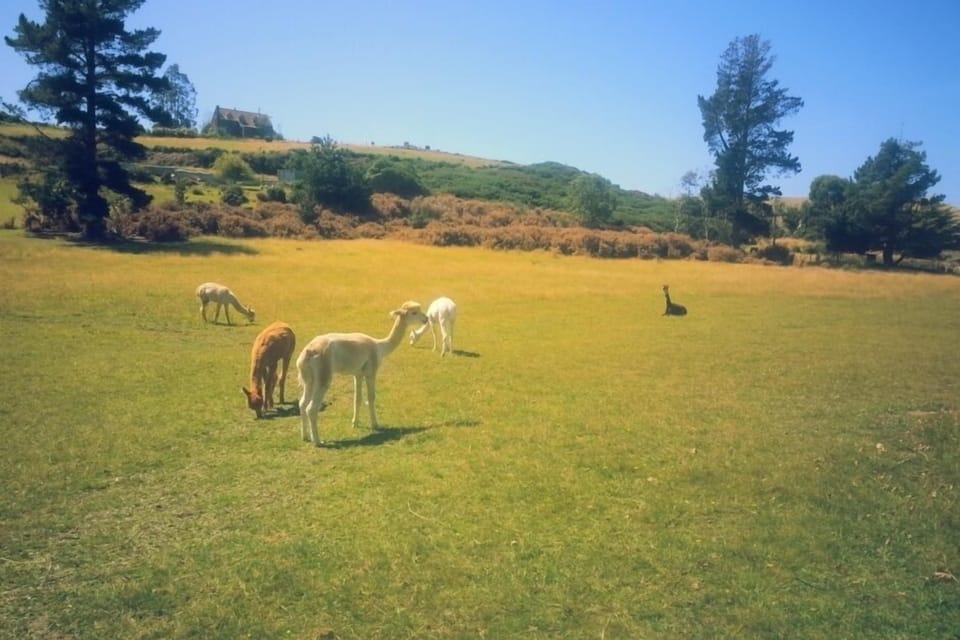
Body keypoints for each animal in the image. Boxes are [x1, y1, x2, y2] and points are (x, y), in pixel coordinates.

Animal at [297, 301, 428, 446]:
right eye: (414, 312)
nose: (426, 319)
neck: (380, 347)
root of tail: (308, 351)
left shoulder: (358, 374)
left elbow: (357, 398)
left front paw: (355, 423)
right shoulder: (371, 371)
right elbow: (371, 398)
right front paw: (375, 424)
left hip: (309, 379)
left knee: (302, 403)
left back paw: (305, 436)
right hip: (323, 376)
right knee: (311, 408)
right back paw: (318, 441)